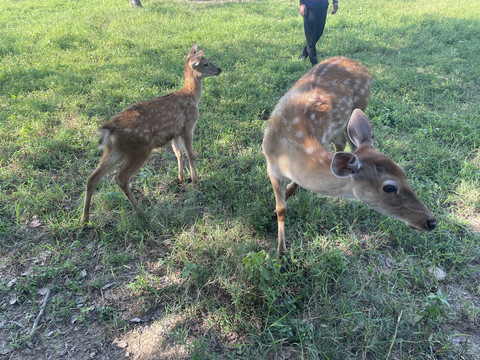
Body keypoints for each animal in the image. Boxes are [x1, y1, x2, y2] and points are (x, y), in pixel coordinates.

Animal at [80, 43, 221, 224]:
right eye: (205, 63)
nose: (219, 69)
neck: (191, 97)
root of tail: (109, 131)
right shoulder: (188, 125)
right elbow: (191, 154)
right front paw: (196, 180)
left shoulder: (175, 132)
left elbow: (178, 153)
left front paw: (181, 178)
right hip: (140, 149)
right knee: (120, 178)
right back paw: (140, 212)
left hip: (114, 150)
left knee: (92, 178)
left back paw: (84, 220)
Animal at [262, 55, 436, 253]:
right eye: (389, 187)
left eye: (403, 173)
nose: (431, 221)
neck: (290, 153)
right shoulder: (271, 165)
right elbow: (282, 208)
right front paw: (280, 251)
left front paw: (281, 250)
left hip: (359, 105)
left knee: (345, 144)